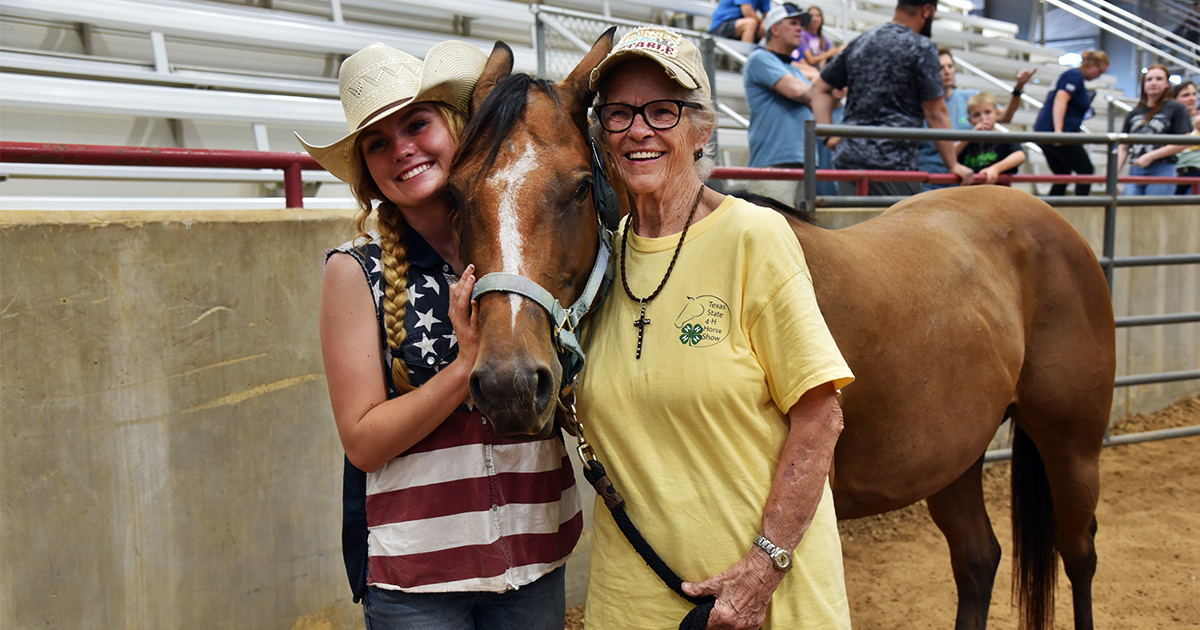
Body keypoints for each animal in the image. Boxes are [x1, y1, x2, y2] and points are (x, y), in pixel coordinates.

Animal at [451, 33, 1113, 628]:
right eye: (456, 195)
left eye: (581, 187)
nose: (511, 384)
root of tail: (1050, 221)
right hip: (954, 456)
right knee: (978, 560)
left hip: (1072, 444)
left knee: (1079, 554)